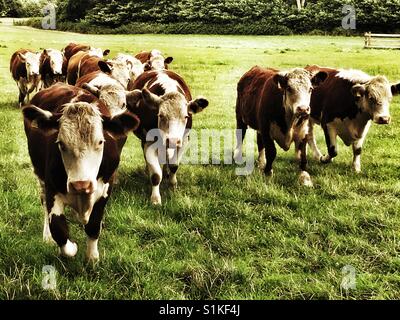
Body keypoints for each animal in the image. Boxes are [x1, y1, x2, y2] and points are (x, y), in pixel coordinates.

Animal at [23, 84, 140, 262]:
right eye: (60, 143)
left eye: (100, 141)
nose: (81, 185)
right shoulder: (52, 189)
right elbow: (59, 229)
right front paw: (71, 247)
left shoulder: (106, 189)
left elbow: (93, 225)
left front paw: (92, 258)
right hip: (39, 176)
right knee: (43, 203)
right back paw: (47, 235)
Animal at [128, 70, 209, 205]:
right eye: (160, 115)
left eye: (186, 116)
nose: (172, 140)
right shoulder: (149, 142)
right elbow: (156, 175)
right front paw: (155, 199)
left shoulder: (183, 140)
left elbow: (174, 165)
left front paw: (172, 185)